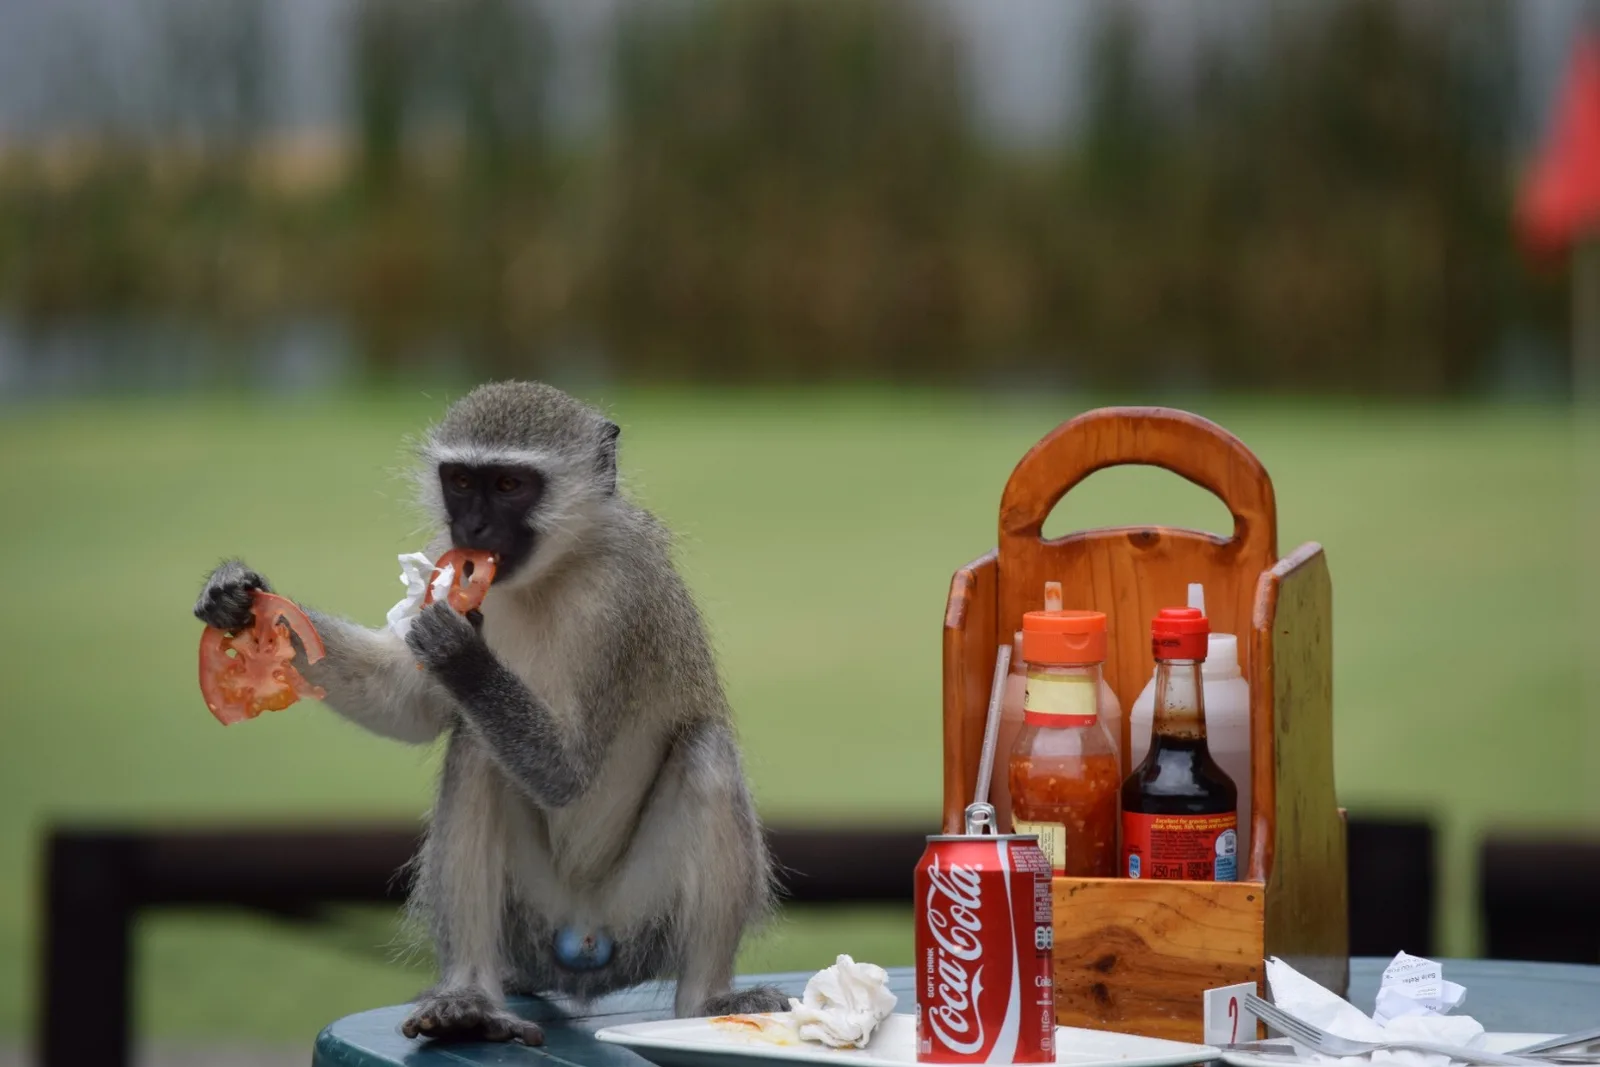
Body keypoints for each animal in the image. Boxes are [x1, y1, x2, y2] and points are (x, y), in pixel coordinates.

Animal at [193, 381, 789, 1045]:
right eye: (460, 481)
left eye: (508, 484)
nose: (472, 525)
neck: (552, 571)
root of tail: (584, 943)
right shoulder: (443, 557)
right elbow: (408, 704)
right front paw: (242, 601)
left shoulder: (618, 601)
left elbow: (567, 772)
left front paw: (460, 654)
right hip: (530, 920)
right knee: (476, 750)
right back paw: (469, 999)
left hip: (641, 913)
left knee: (703, 753)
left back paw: (705, 998)